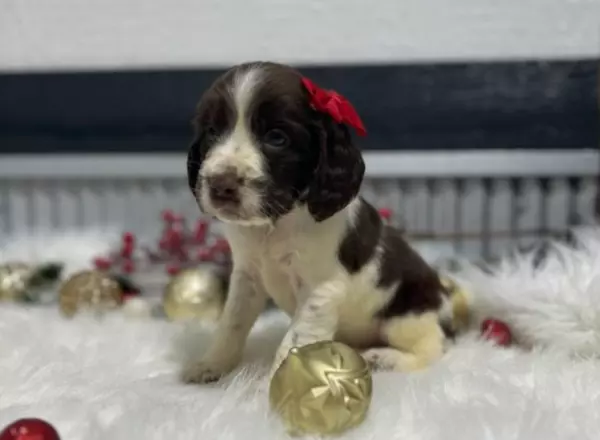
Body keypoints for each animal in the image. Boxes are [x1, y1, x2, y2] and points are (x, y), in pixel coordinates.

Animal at [185, 60, 466, 384]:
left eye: (276, 137)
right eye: (212, 132)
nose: (220, 185)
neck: (275, 224)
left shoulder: (320, 289)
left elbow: (294, 340)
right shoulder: (247, 276)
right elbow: (231, 322)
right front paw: (211, 364)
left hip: (406, 315)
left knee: (434, 347)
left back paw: (387, 359)